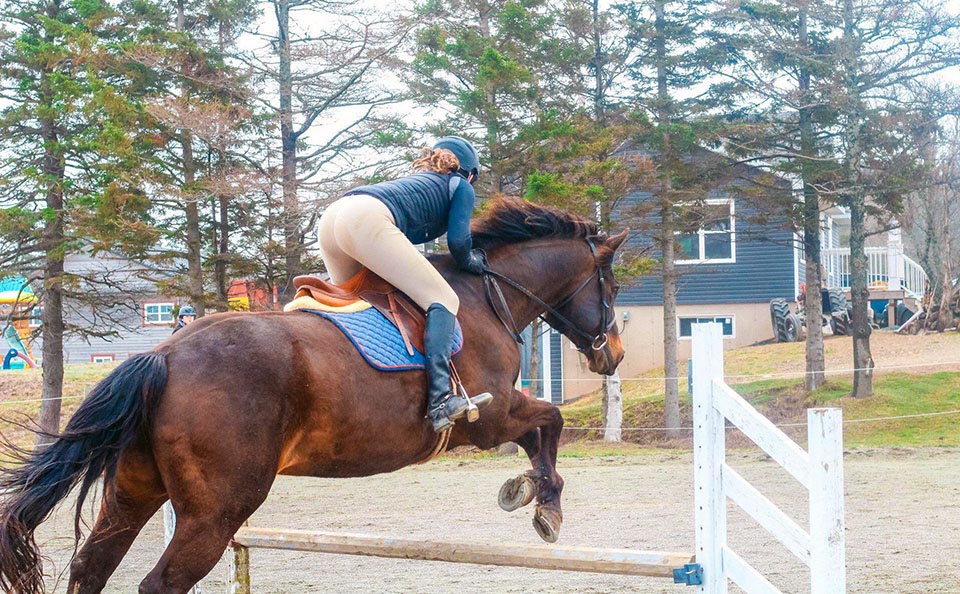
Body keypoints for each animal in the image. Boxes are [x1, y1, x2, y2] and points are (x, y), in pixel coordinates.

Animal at [0, 197, 632, 588]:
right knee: (160, 582)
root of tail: (164, 354)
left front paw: (525, 491)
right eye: (610, 285)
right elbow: (550, 423)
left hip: (133, 490)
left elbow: (545, 430)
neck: (489, 296)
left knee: (91, 567)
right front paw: (542, 503)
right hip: (216, 512)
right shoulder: (491, 418)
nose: (614, 355)